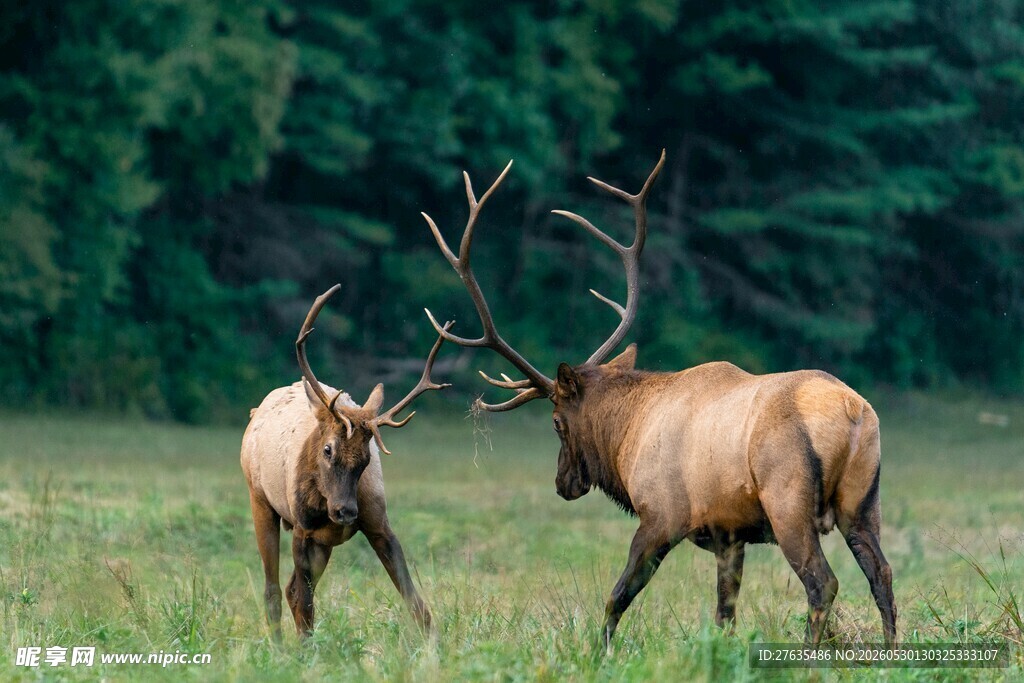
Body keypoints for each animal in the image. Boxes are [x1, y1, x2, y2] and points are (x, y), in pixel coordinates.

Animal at [241, 284, 448, 639]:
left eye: (366, 459)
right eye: (327, 449)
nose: (345, 511)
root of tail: (257, 411)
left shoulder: (378, 523)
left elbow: (415, 601)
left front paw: (435, 643)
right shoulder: (303, 529)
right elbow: (306, 607)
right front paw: (305, 648)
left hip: (324, 542)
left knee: (289, 589)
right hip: (261, 500)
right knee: (274, 590)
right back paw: (278, 644)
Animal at [420, 152, 896, 651]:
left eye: (556, 421)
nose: (562, 483)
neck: (627, 436)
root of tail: (853, 413)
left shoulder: (660, 516)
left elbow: (617, 596)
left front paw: (600, 652)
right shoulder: (729, 535)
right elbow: (725, 612)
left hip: (788, 501)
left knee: (822, 582)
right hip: (863, 502)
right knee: (881, 574)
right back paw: (890, 650)